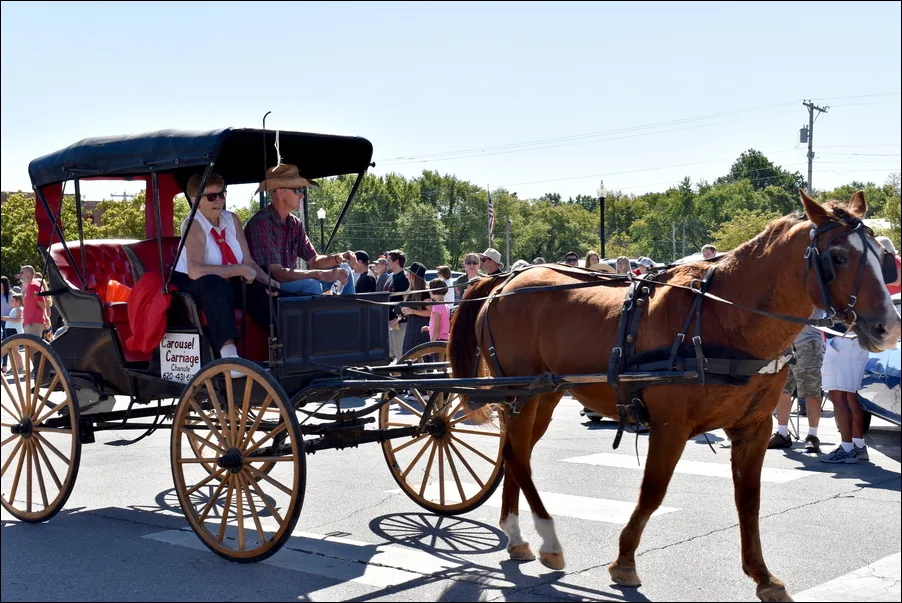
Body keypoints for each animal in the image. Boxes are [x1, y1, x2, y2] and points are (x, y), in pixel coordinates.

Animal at [448, 191, 900, 600]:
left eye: (882, 256)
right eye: (838, 256)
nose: (889, 328)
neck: (724, 318)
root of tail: (504, 281)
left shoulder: (752, 428)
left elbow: (749, 500)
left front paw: (763, 576)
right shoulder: (670, 425)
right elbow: (653, 491)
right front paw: (625, 561)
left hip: (542, 394)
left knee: (515, 454)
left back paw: (517, 536)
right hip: (521, 394)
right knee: (517, 457)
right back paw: (548, 539)